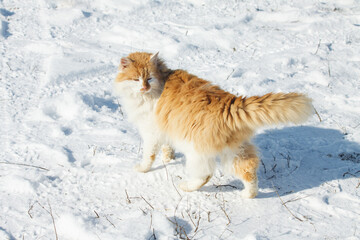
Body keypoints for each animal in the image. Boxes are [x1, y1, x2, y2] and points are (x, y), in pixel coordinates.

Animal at [113, 51, 312, 198]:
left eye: (149, 79)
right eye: (136, 79)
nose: (144, 87)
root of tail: (230, 103)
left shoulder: (151, 133)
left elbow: (149, 155)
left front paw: (143, 168)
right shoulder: (165, 130)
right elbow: (167, 149)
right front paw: (169, 159)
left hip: (195, 150)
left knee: (205, 175)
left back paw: (186, 187)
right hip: (237, 151)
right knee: (249, 171)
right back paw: (248, 195)